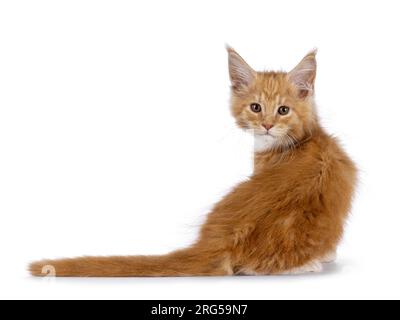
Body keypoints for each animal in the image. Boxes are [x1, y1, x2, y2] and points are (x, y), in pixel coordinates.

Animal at [30, 48, 356, 278]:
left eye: (283, 110)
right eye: (255, 107)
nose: (266, 125)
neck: (299, 140)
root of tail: (217, 242)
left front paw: (328, 254)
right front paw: (327, 255)